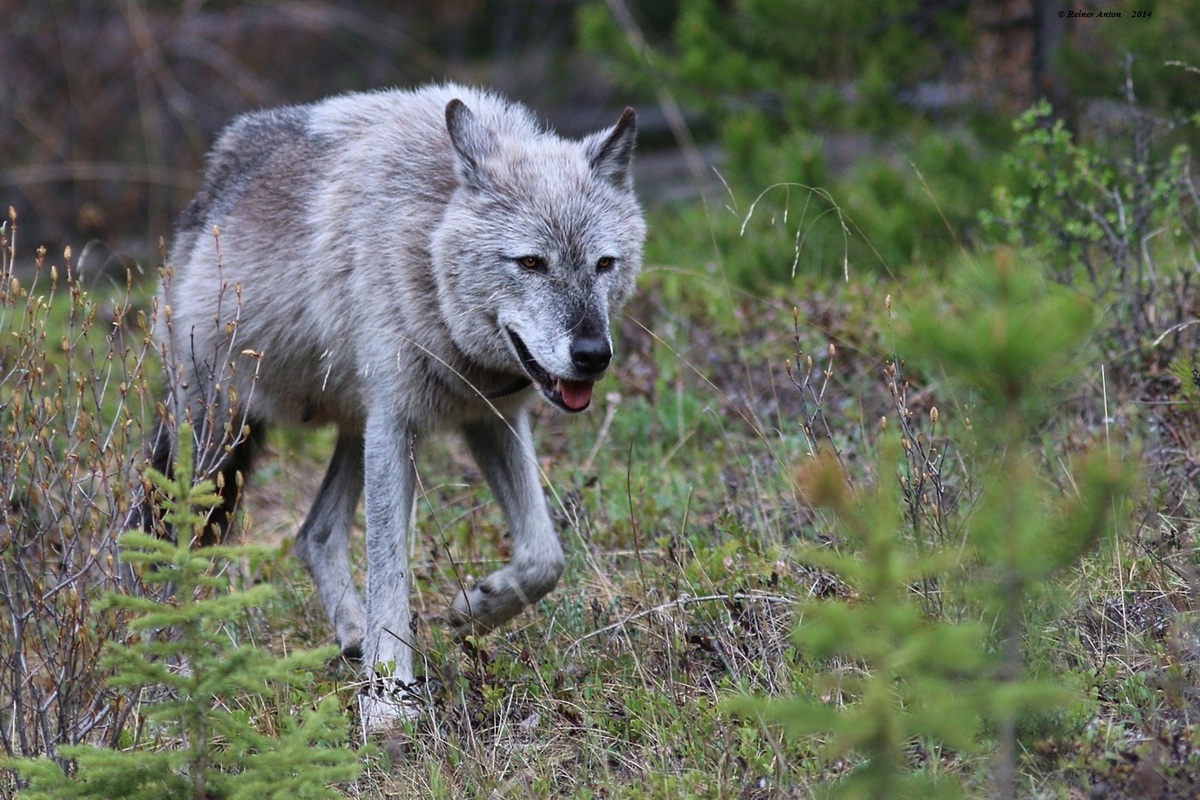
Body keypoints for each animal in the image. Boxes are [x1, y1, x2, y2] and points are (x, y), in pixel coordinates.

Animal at [135, 84, 644, 730]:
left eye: (604, 263)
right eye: (531, 262)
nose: (593, 354)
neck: (426, 246)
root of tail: (209, 184)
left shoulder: (489, 418)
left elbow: (543, 558)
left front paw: (475, 607)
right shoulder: (397, 425)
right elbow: (391, 569)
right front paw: (388, 700)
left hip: (353, 428)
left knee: (314, 533)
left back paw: (351, 638)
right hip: (220, 443)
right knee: (169, 547)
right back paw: (167, 669)